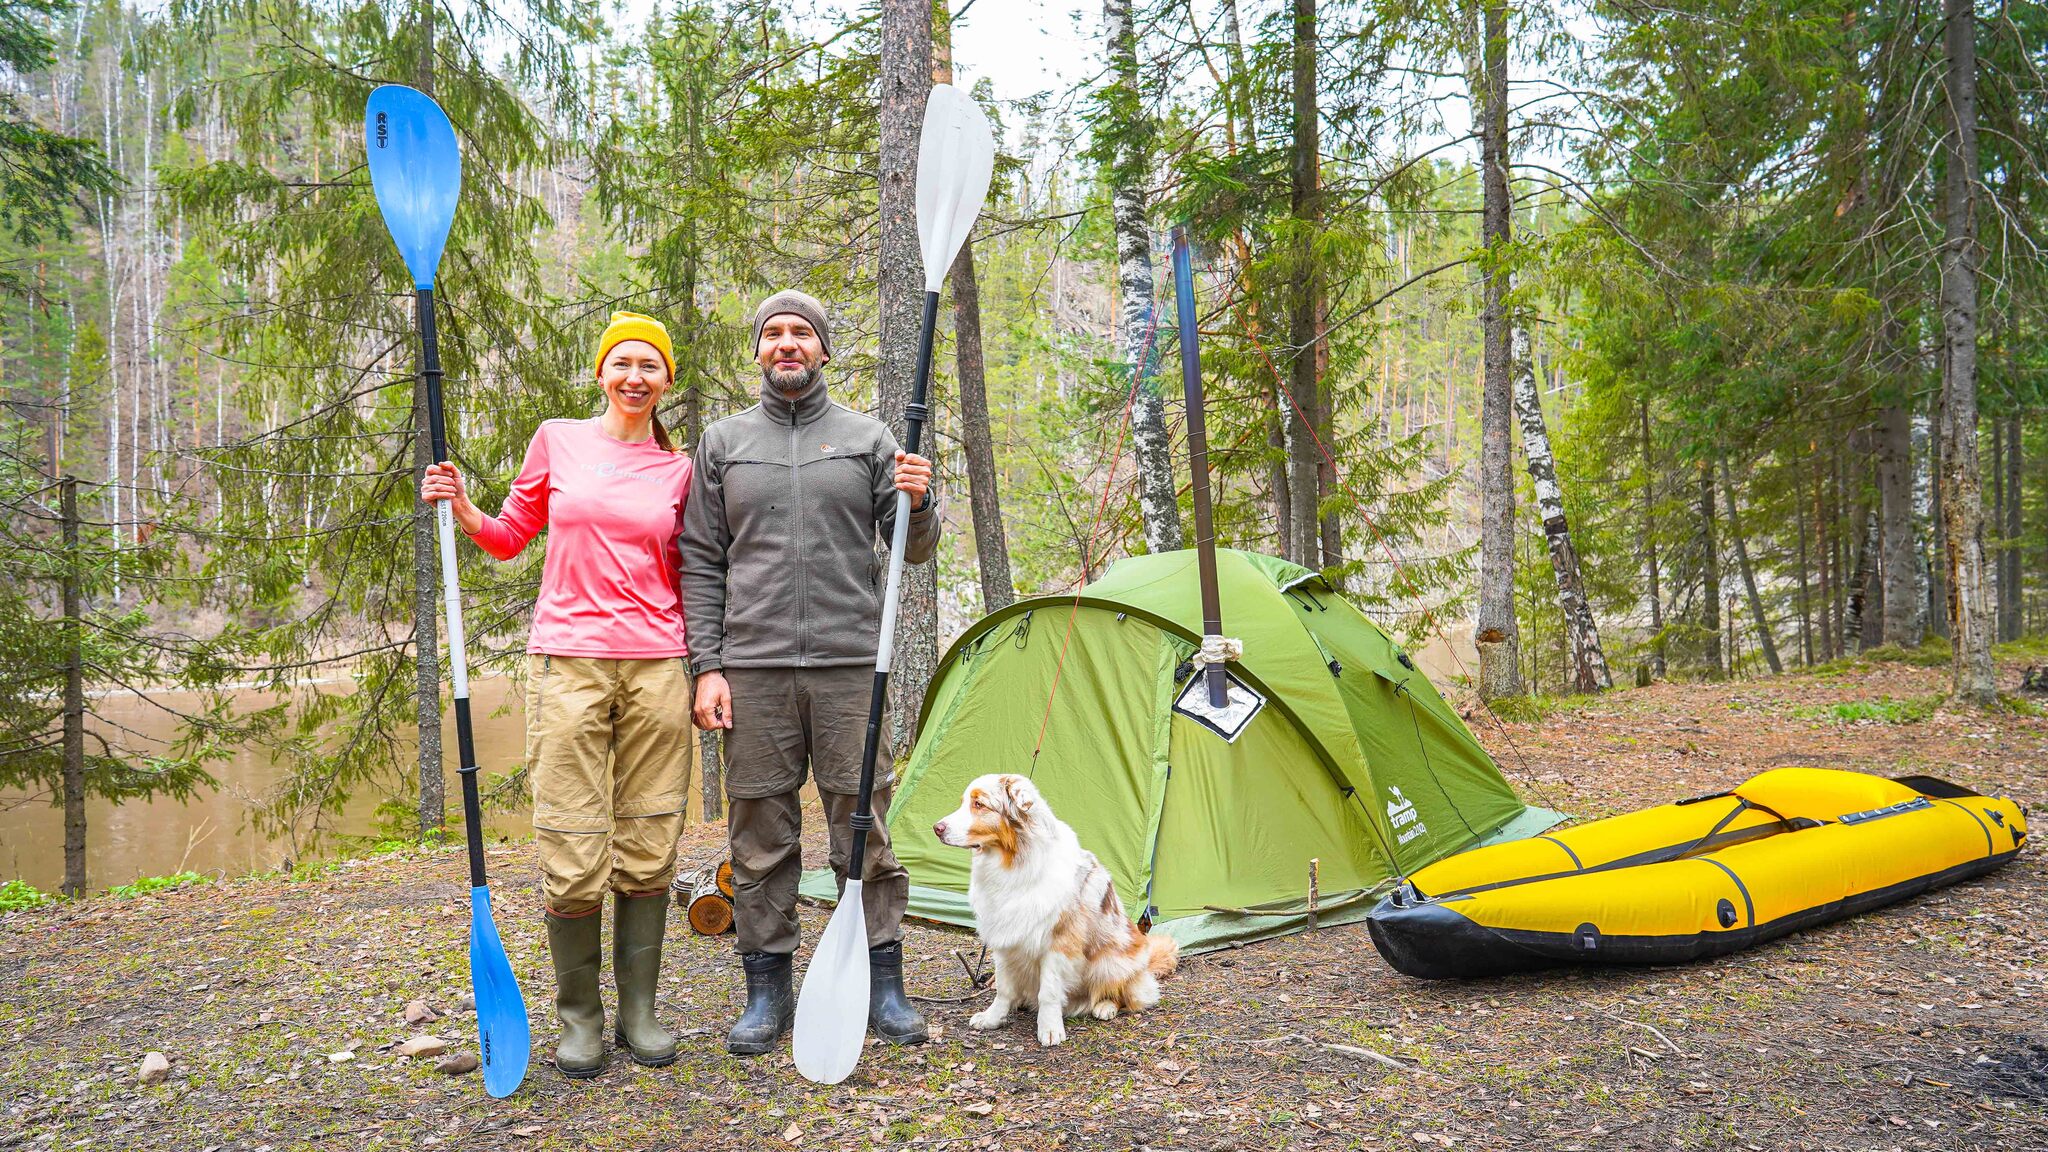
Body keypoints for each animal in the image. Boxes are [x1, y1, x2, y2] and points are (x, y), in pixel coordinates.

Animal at [933, 770, 1179, 1041]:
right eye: (964, 802)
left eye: (979, 804)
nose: (936, 828)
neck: (1013, 862)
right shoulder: (1004, 936)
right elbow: (1004, 988)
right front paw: (993, 1018)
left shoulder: (1059, 941)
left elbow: (1049, 991)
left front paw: (1049, 1028)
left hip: (1112, 960)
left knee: (1127, 994)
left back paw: (1105, 1006)